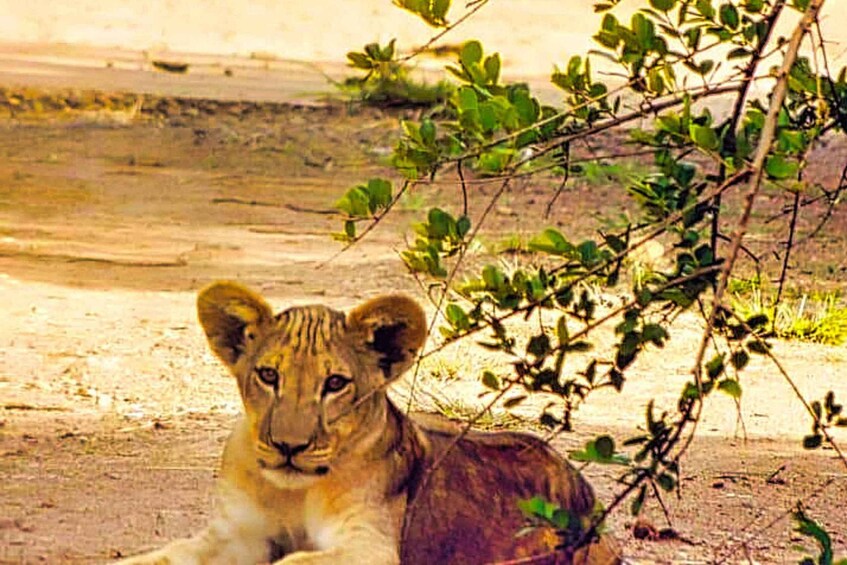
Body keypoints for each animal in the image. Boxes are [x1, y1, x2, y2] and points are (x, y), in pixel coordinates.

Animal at [116, 281, 621, 564]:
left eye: (336, 383)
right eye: (268, 375)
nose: (288, 447)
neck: (291, 493)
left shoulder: (371, 545)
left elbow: (295, 562)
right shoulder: (234, 535)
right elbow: (158, 559)